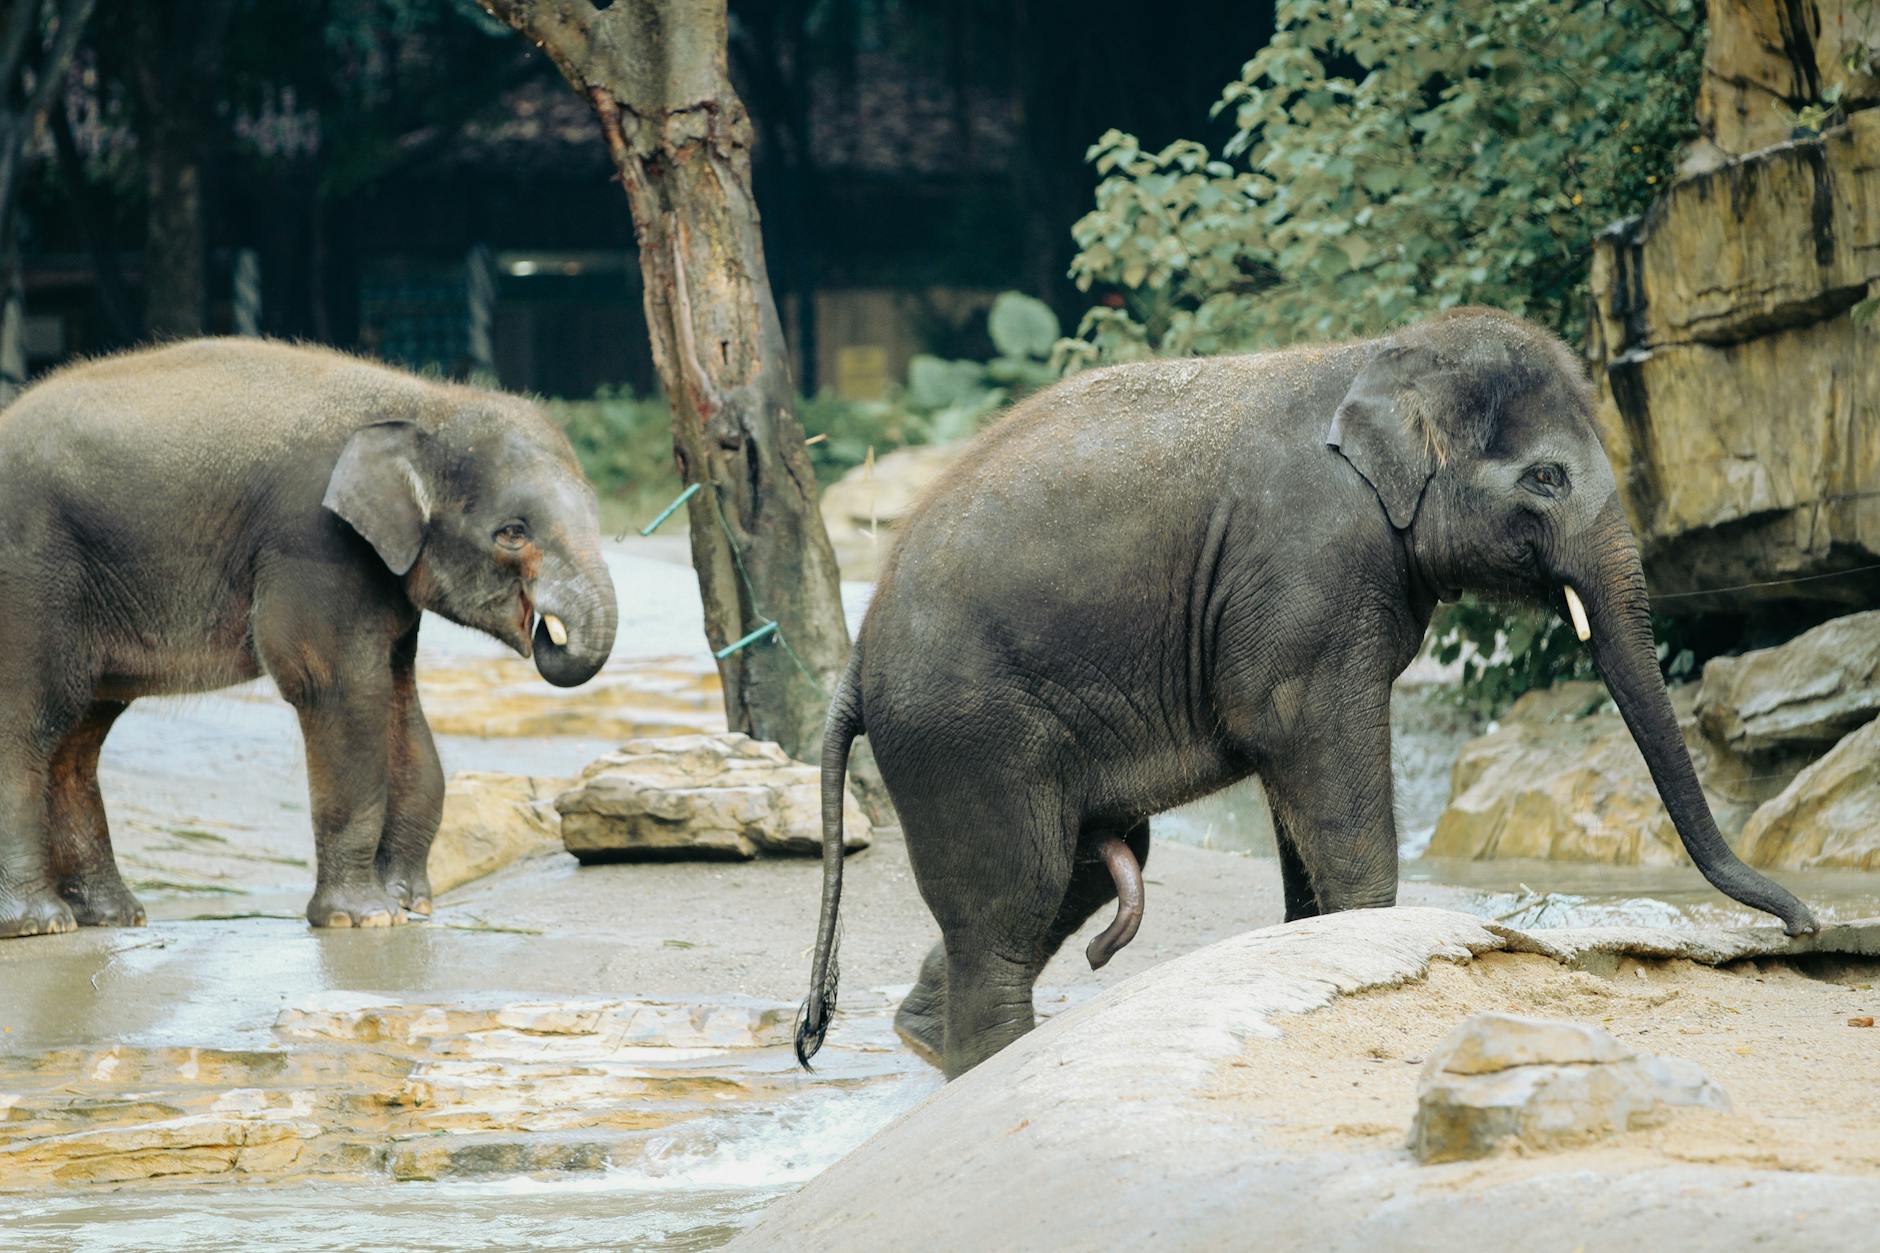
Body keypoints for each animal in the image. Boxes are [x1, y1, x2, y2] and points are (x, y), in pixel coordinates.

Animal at [0, 339, 617, 937]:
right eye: (512, 533)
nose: (546, 631)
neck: (426, 401)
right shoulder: (314, 539)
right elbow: (334, 686)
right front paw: (364, 918)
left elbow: (399, 698)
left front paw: (410, 905)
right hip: (30, 578)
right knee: (32, 717)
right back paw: (40, 925)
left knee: (80, 733)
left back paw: (111, 917)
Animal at [794, 307, 1816, 1078]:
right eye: (1548, 477)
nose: (1806, 925)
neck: (1378, 353)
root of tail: (857, 659)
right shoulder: (1310, 568)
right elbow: (1305, 738)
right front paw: (1373, 937)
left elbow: (1299, 792)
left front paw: (1313, 942)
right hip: (965, 730)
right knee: (1014, 900)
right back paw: (988, 1061)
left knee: (1077, 875)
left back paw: (923, 1040)